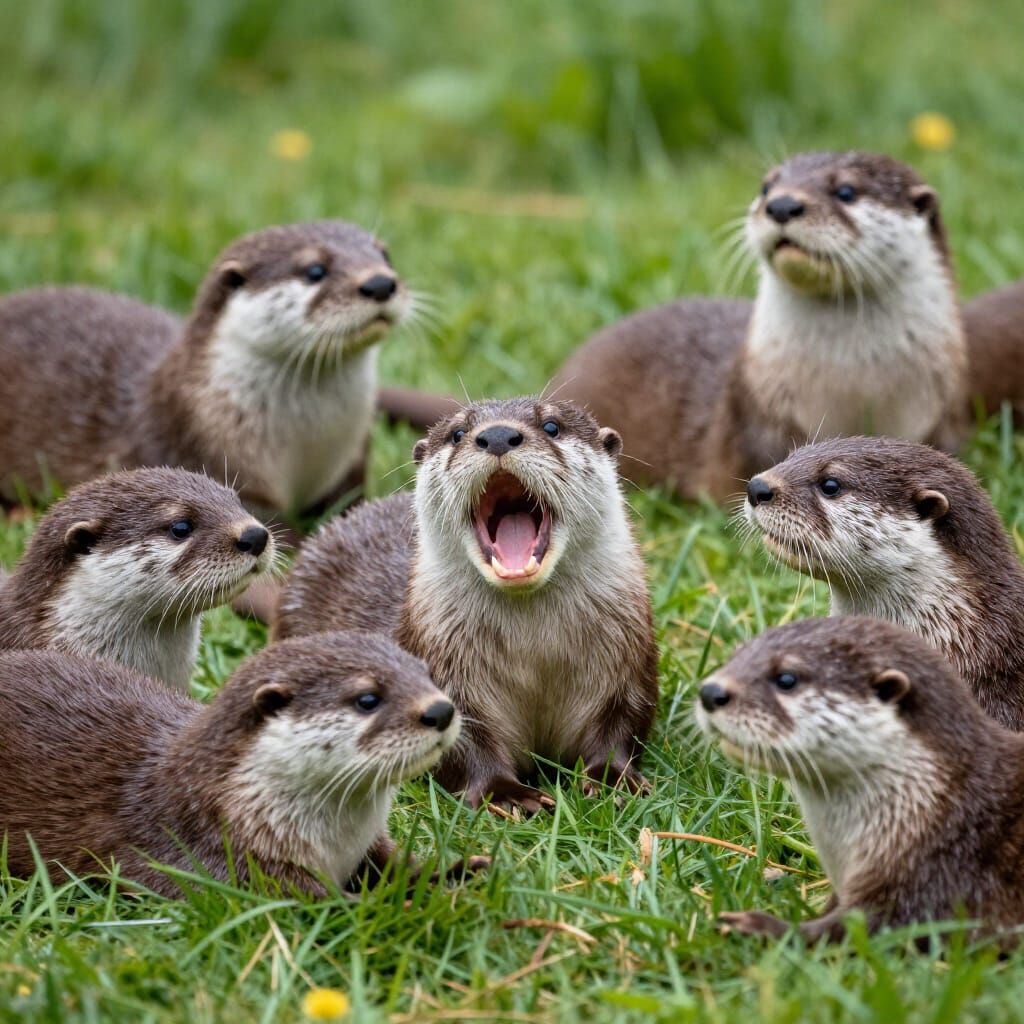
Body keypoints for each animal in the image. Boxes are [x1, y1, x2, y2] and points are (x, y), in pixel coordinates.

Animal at [0, 221, 410, 522]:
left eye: (385, 254)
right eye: (314, 270)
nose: (380, 282)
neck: (310, 442)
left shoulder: (351, 463)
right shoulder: (220, 465)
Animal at [0, 632, 483, 897]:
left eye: (427, 674)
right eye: (368, 699)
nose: (440, 710)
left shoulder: (368, 846)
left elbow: (403, 865)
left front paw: (464, 871)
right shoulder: (227, 864)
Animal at [275, 397, 659, 811]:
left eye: (552, 426)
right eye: (458, 433)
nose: (497, 435)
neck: (536, 654)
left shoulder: (627, 666)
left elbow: (622, 722)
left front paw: (612, 780)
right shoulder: (442, 665)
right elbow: (462, 736)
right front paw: (507, 795)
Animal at [552, 150, 968, 500]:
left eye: (846, 191)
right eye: (767, 187)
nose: (782, 204)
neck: (857, 386)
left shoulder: (937, 419)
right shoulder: (757, 423)